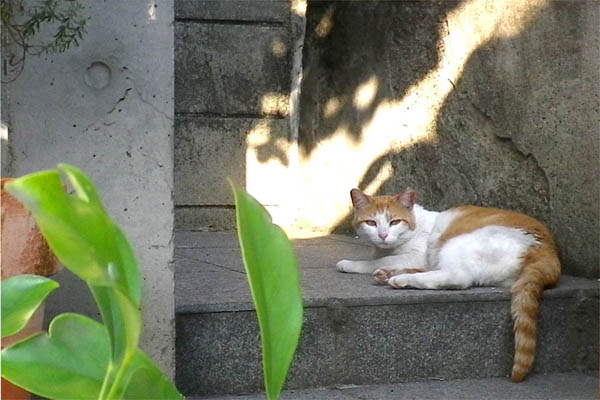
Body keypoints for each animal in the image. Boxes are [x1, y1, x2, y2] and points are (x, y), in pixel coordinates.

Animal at [338, 189, 564, 382]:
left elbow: (377, 261)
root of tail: (547, 249)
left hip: (456, 244)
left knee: (457, 277)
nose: (383, 235)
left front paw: (352, 264)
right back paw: (389, 275)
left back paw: (399, 280)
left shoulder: (417, 256)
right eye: (371, 223)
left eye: (394, 222)